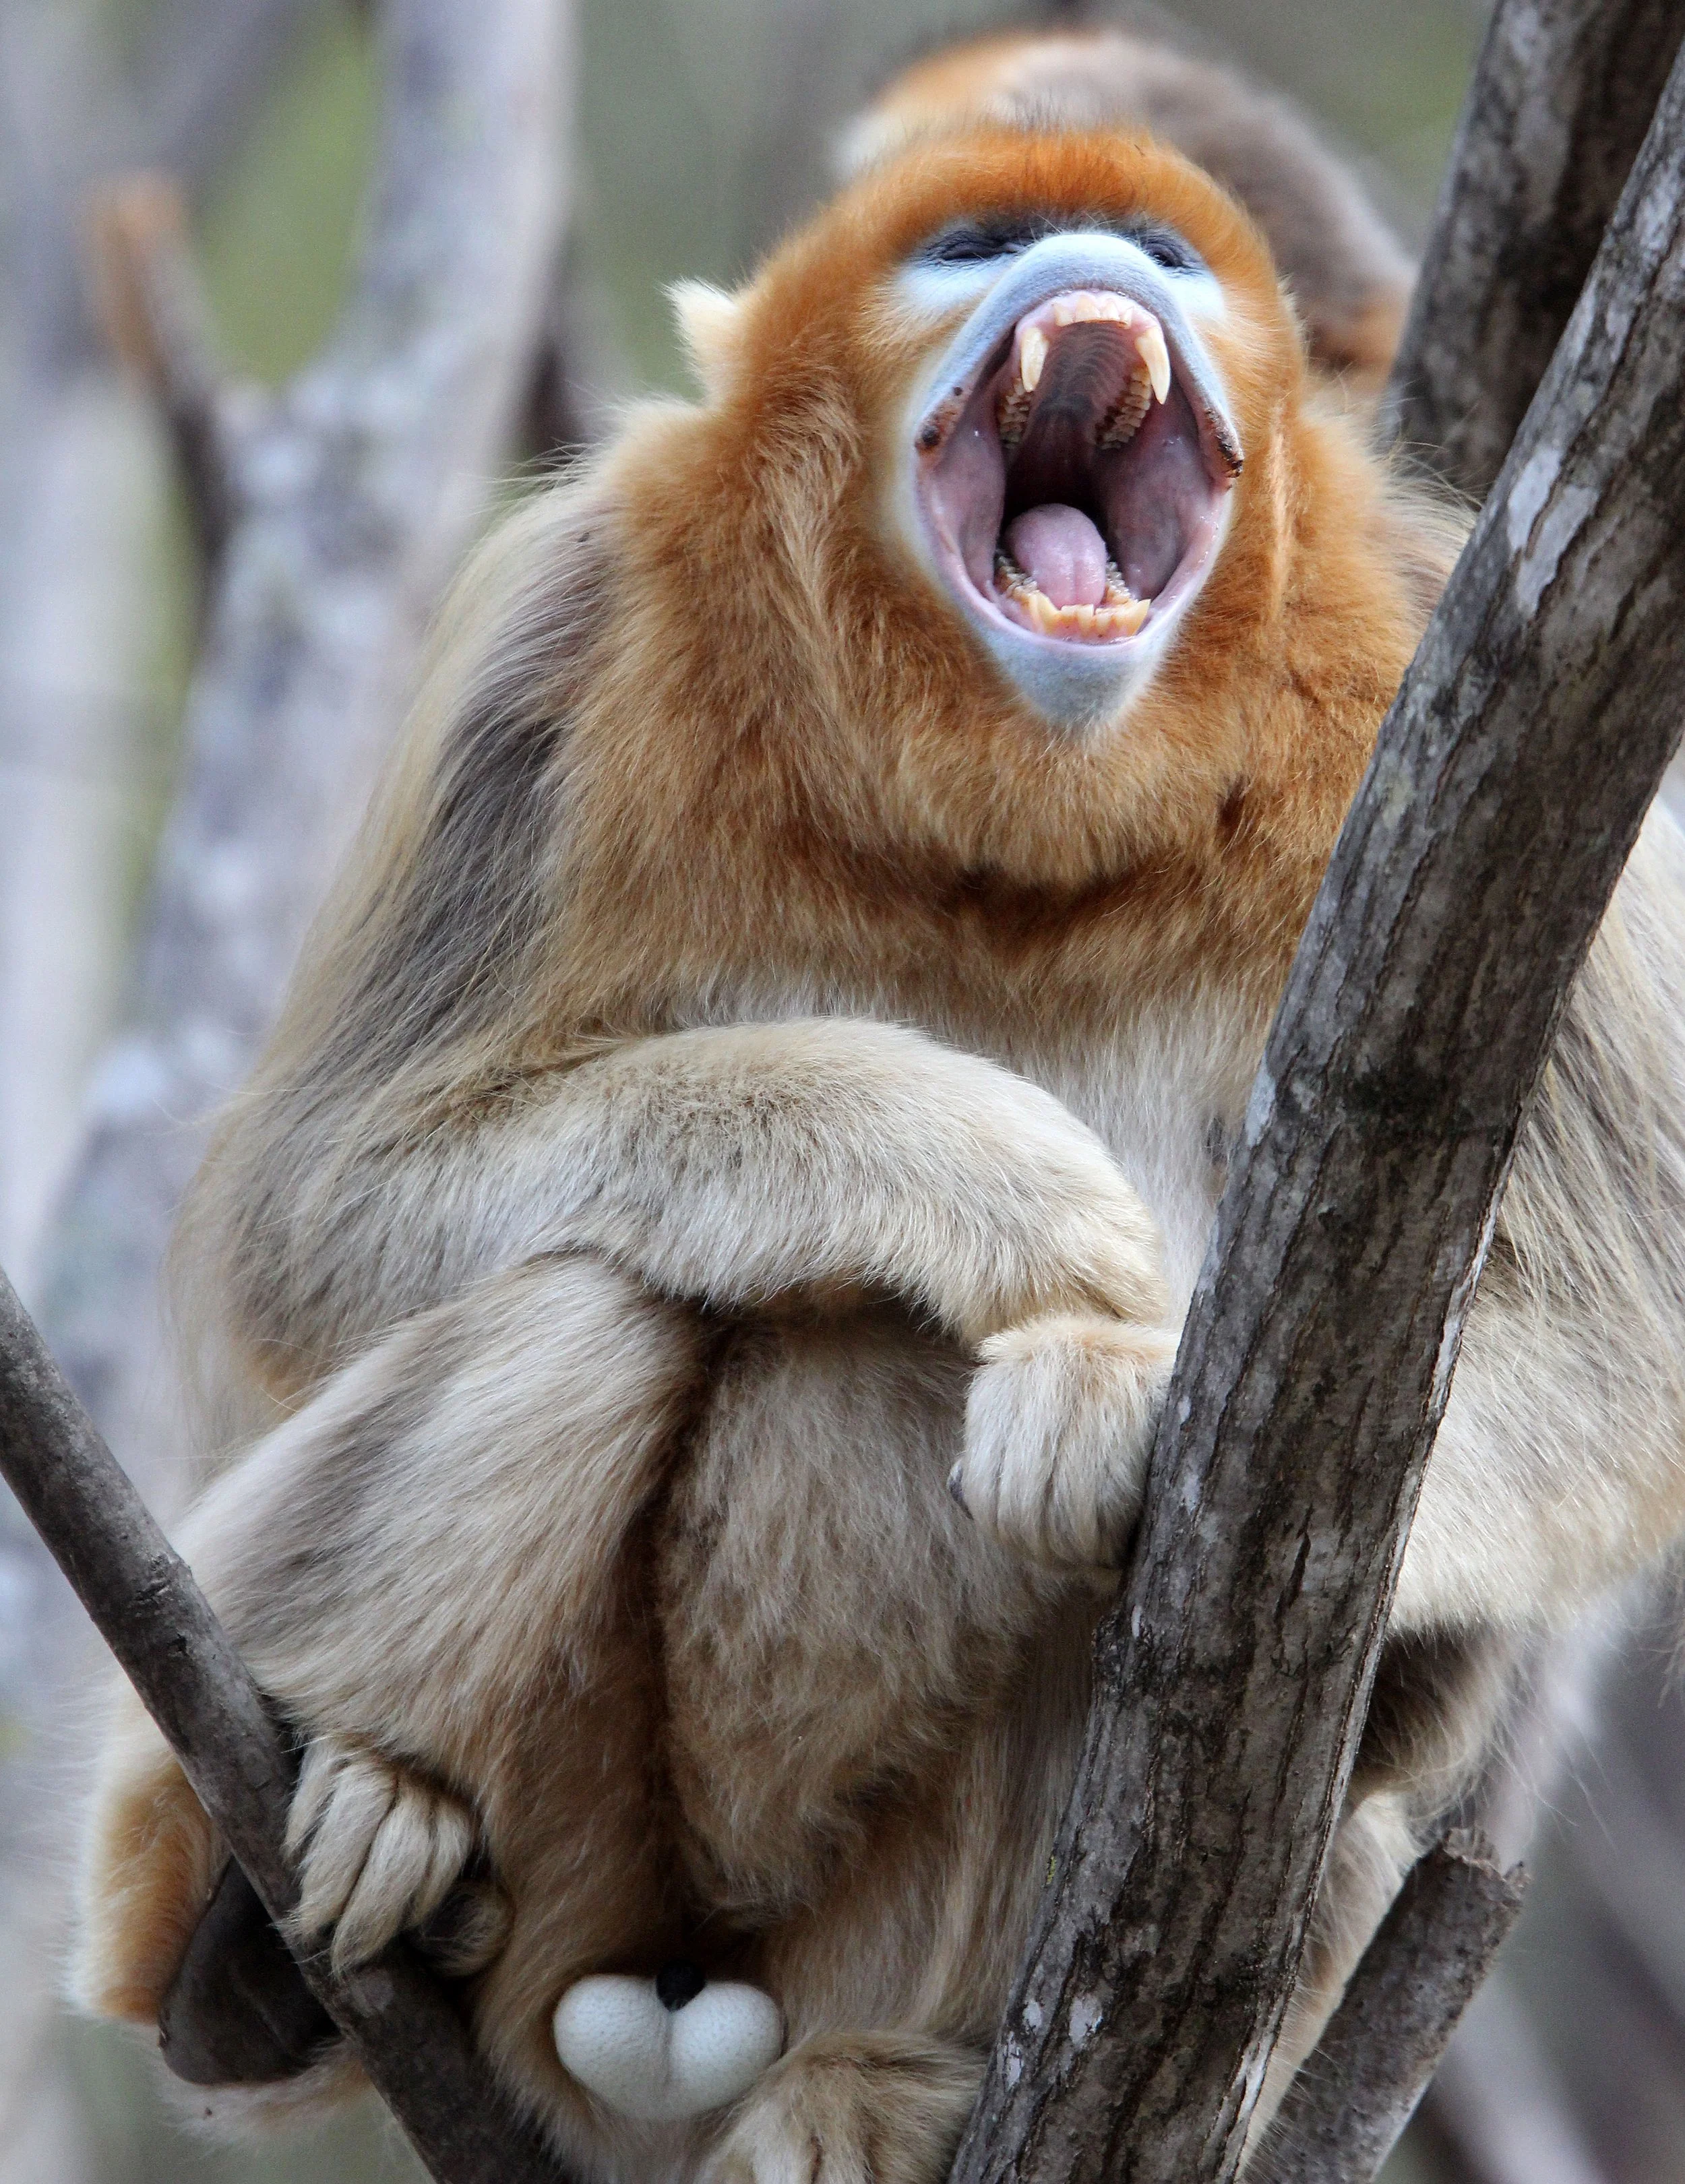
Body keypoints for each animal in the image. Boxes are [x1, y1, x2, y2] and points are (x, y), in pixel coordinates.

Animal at [69, 33, 1685, 2184]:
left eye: (1169, 250)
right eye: (981, 241)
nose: (1105, 269)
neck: (1007, 818)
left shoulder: (1439, 663)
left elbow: (1621, 1348)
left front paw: (1120, 1399)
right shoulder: (562, 636)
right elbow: (315, 1208)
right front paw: (985, 1182)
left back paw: (892, 2086)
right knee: (589, 1305)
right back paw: (271, 1911)